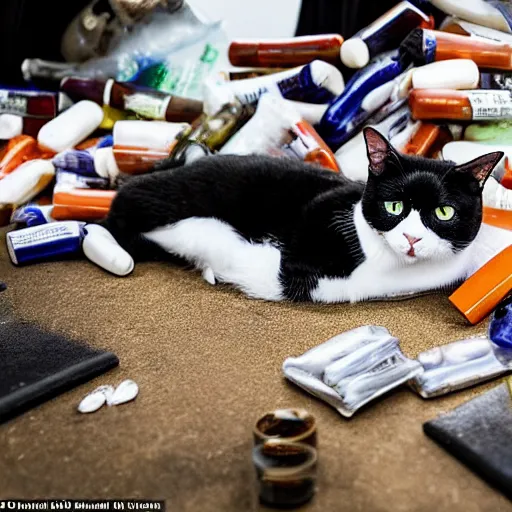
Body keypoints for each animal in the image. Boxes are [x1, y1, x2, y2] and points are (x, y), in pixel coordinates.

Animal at [103, 128, 512, 302]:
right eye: (394, 207)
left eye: (444, 212)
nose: (412, 238)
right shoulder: (318, 214)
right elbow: (286, 274)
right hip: (169, 197)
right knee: (124, 203)